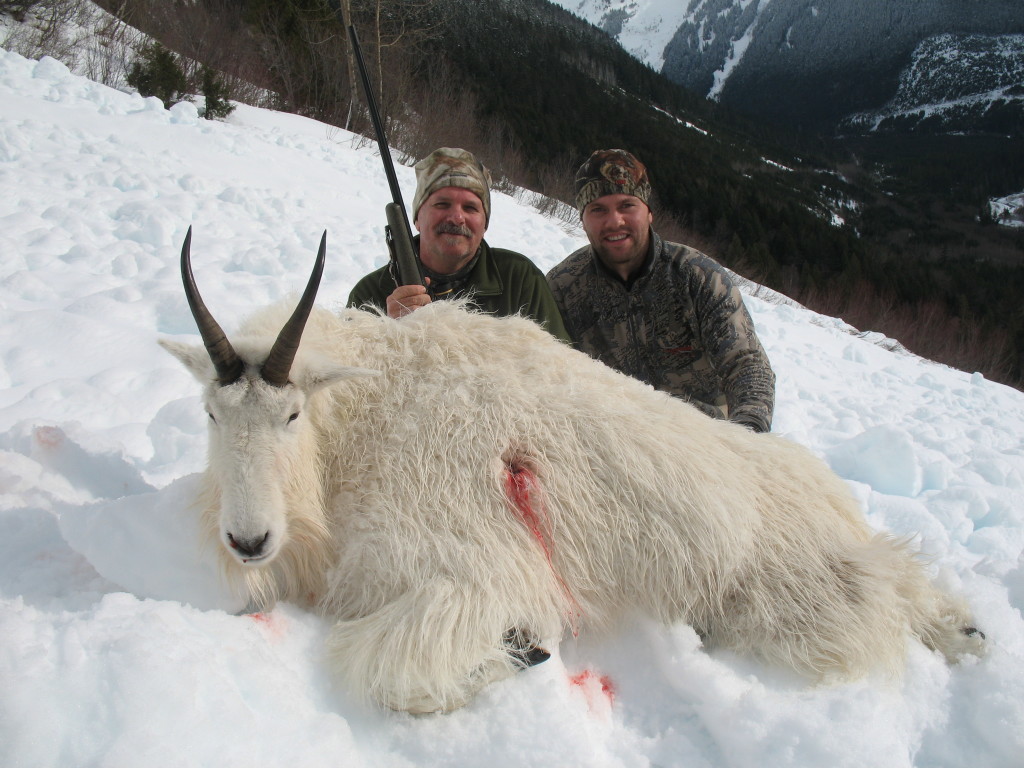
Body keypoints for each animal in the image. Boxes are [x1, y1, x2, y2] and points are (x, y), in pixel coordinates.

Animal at [159, 233, 983, 716]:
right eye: (210, 413)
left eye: (291, 415)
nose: (249, 541)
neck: (362, 422)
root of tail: (828, 495)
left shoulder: (468, 574)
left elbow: (387, 671)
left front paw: (521, 651)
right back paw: (967, 632)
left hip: (794, 599)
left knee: (887, 592)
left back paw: (963, 634)